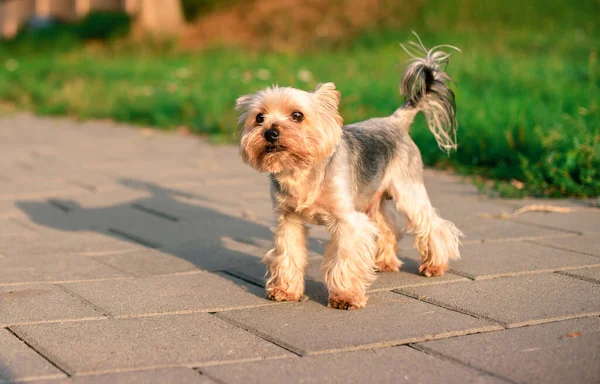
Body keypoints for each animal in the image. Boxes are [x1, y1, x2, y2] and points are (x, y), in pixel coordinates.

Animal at [234, 33, 464, 308]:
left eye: (297, 115)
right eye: (259, 118)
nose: (270, 132)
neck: (301, 170)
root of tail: (395, 121)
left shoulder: (347, 219)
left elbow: (344, 258)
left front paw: (345, 297)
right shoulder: (288, 219)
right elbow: (288, 252)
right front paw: (285, 291)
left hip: (408, 189)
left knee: (432, 224)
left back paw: (434, 266)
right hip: (371, 198)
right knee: (386, 226)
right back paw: (385, 262)